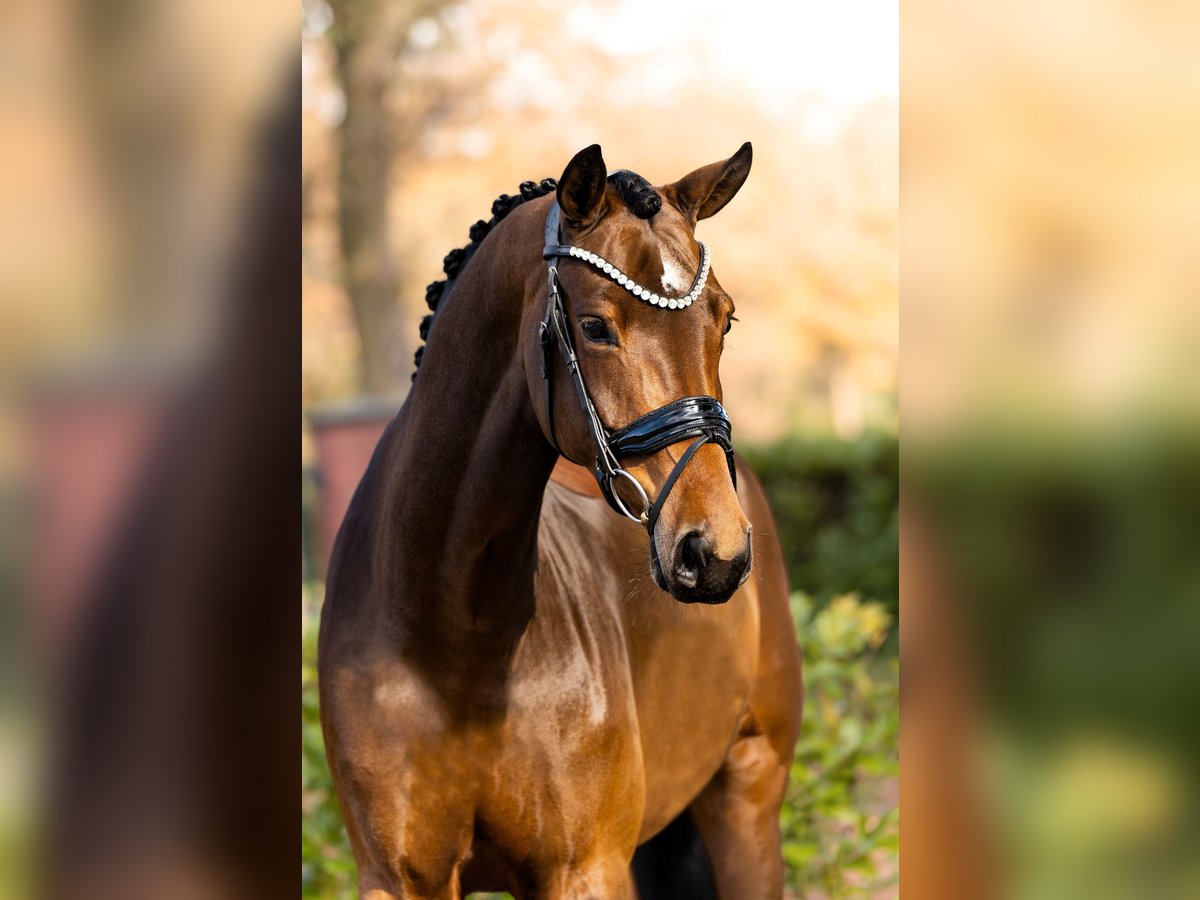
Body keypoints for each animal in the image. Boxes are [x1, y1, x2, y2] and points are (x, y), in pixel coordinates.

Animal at [319, 144, 806, 897]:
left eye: (723, 320)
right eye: (597, 327)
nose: (716, 552)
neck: (451, 633)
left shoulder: (585, 870)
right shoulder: (395, 879)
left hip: (747, 794)